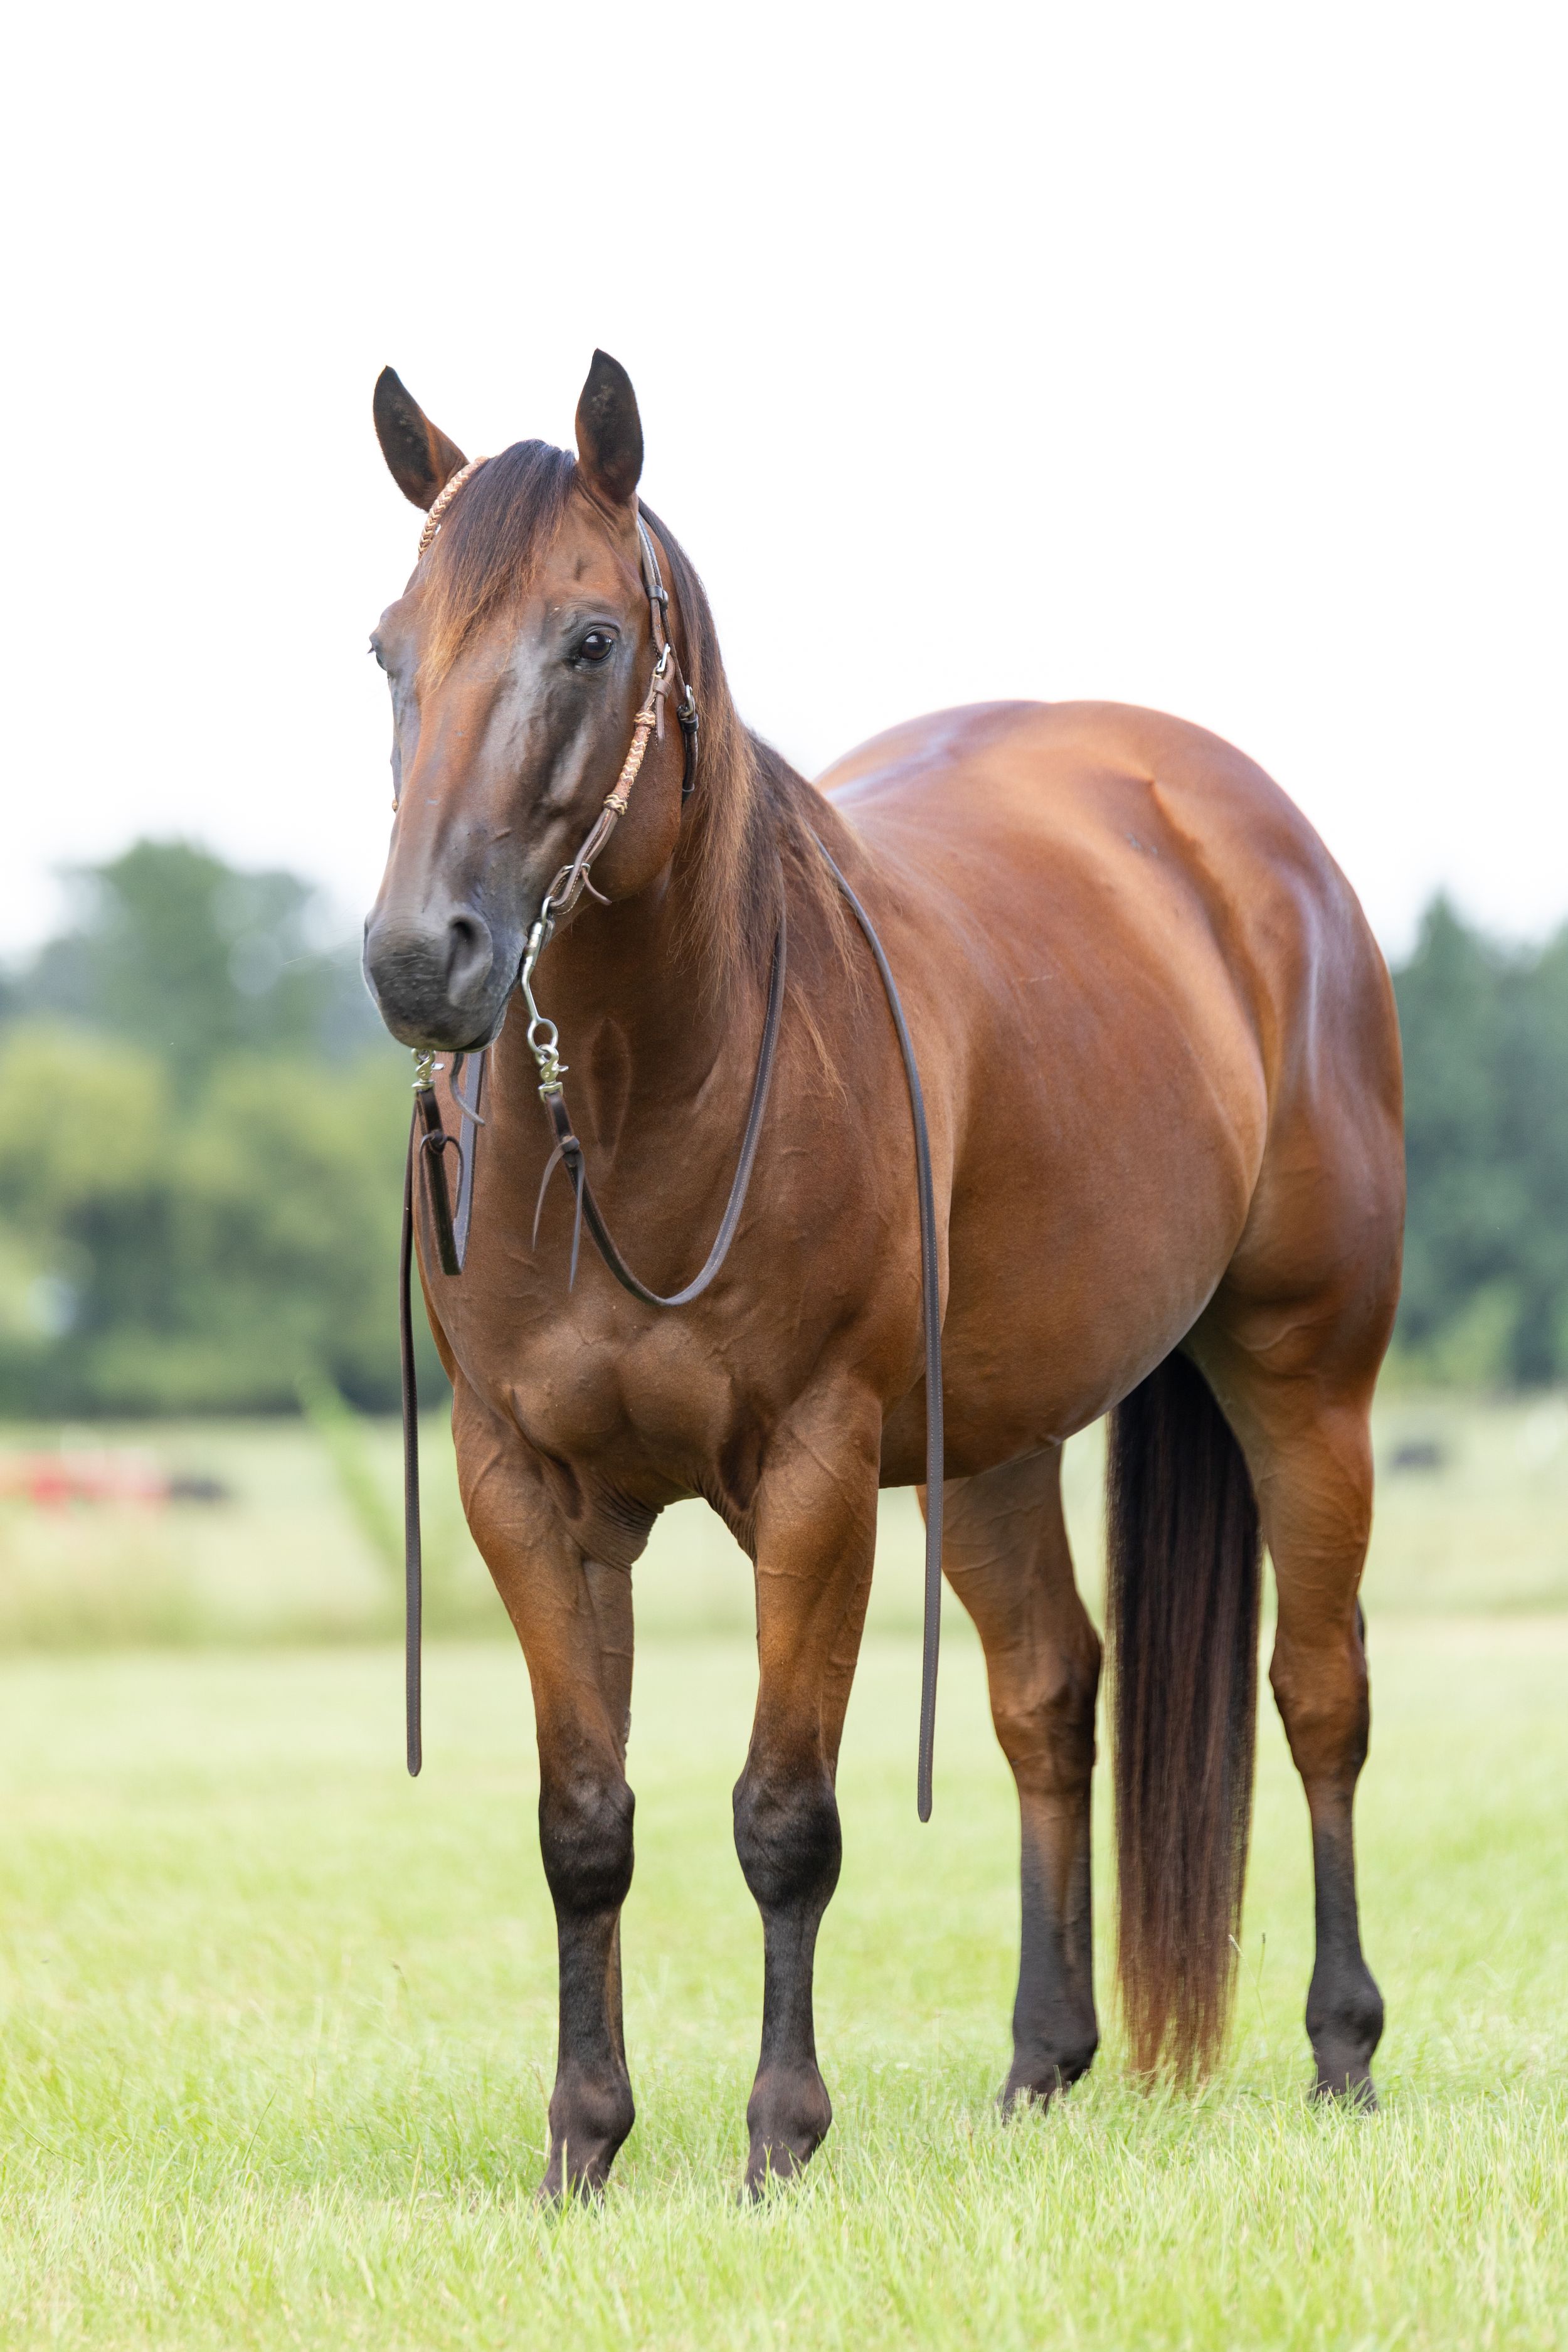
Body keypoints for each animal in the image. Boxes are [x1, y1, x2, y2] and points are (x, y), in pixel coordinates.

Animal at [362, 350, 1403, 2199]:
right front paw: (583, 2142)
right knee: (1049, 1692)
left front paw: (780, 2135)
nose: (424, 959)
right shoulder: (526, 1485)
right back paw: (1039, 2063)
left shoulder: (814, 1472)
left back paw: (1339, 2047)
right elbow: (584, 1820)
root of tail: (1249, 843)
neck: (646, 1097)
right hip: (990, 1443)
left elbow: (785, 1814)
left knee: (1319, 1690)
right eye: (388, 647)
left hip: (1305, 1376)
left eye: (591, 640)